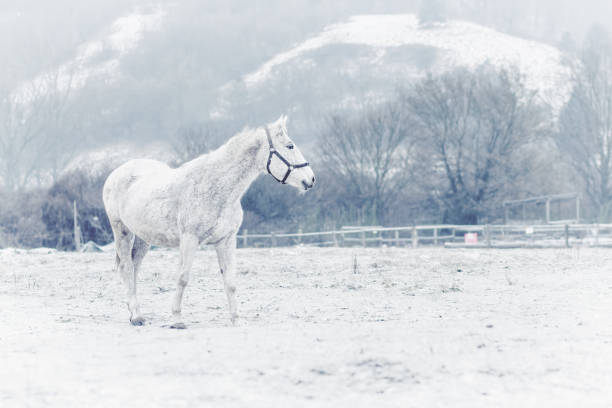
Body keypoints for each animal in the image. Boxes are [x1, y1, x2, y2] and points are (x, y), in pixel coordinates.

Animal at [103, 115, 316, 328]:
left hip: (143, 237)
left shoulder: (226, 241)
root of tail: (117, 172)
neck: (215, 188)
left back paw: (134, 312)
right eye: (290, 146)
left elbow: (230, 282)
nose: (311, 179)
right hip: (121, 230)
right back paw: (136, 316)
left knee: (134, 267)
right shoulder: (189, 240)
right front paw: (177, 319)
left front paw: (236, 320)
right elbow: (183, 278)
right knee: (126, 267)